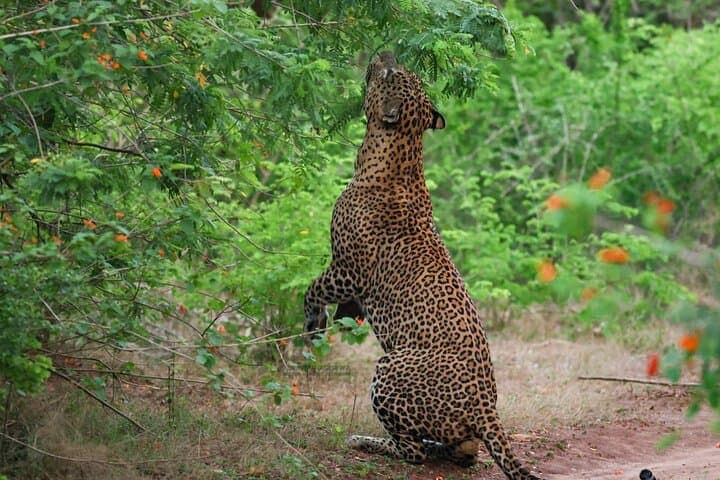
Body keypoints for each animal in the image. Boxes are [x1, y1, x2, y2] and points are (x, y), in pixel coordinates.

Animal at [304, 51, 541, 480]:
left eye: (392, 73)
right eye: (403, 72)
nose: (385, 54)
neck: (400, 153)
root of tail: (488, 410)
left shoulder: (348, 268)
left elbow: (313, 289)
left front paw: (313, 326)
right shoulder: (350, 279)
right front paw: (337, 319)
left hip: (390, 366)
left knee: (411, 451)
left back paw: (367, 442)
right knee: (462, 451)